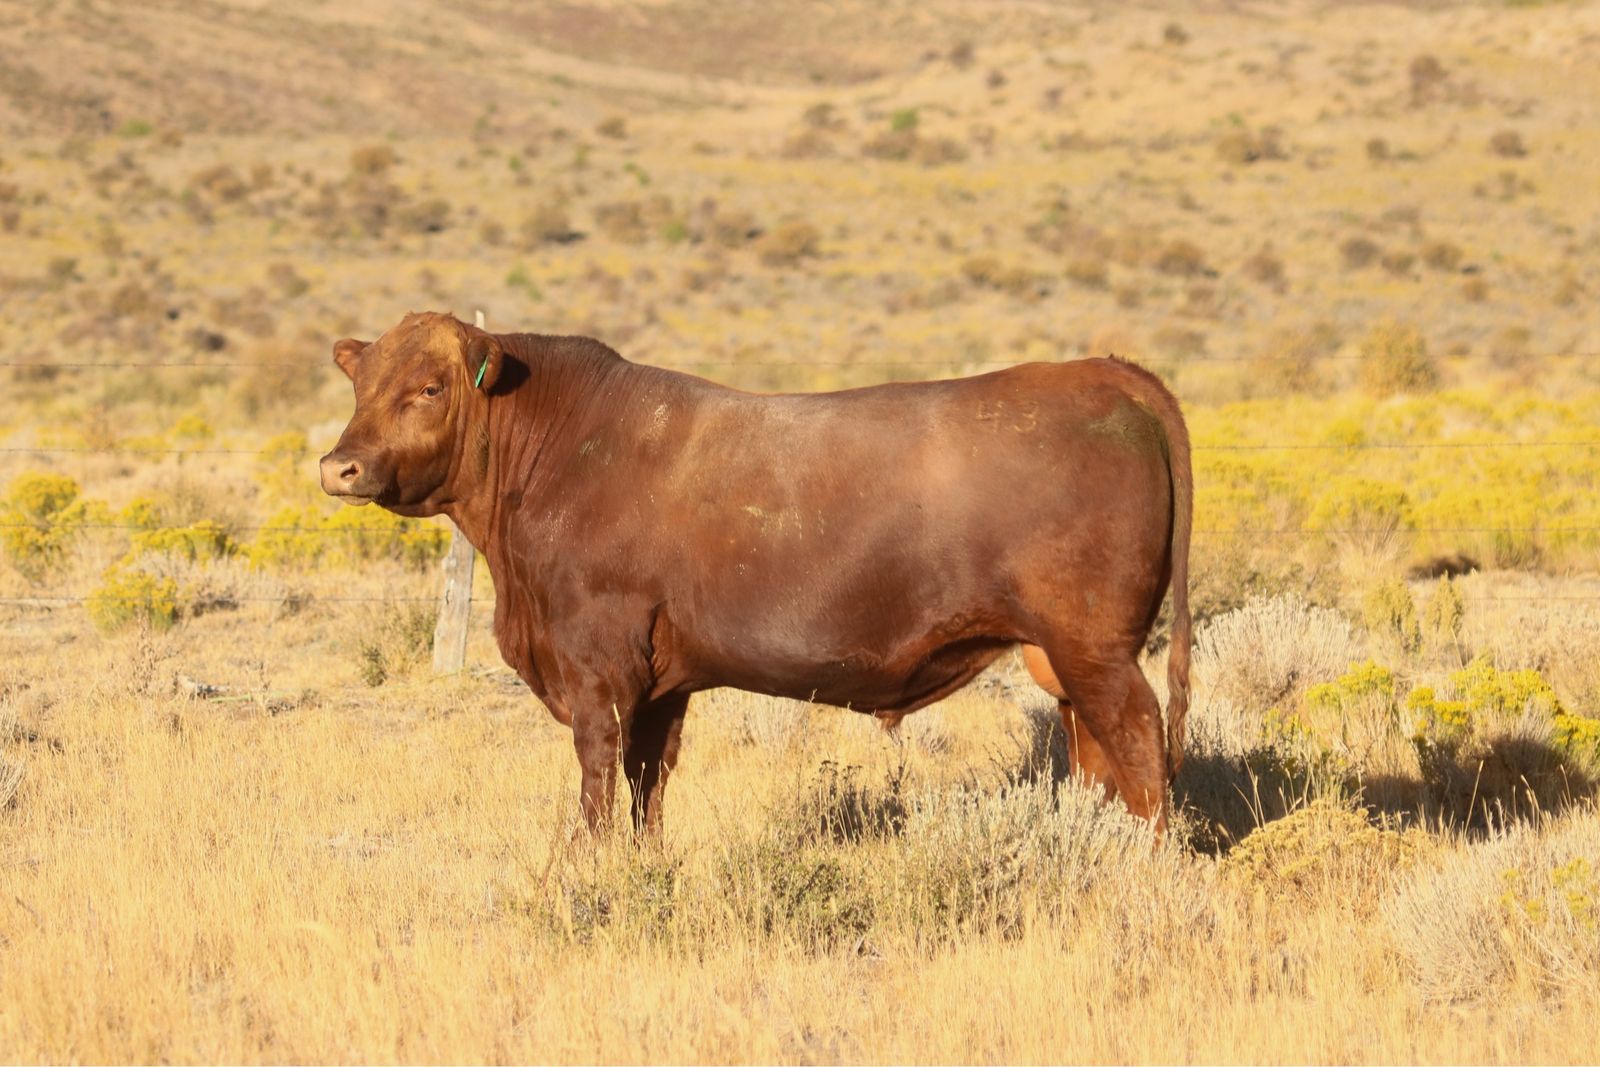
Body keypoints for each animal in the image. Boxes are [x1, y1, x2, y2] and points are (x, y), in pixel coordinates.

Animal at [320, 312, 1192, 835]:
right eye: (359, 385)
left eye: (430, 386)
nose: (339, 466)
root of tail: (1105, 370)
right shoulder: (661, 685)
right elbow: (647, 788)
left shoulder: (597, 668)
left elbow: (599, 782)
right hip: (1063, 658)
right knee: (1097, 756)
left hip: (1097, 648)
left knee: (1140, 742)